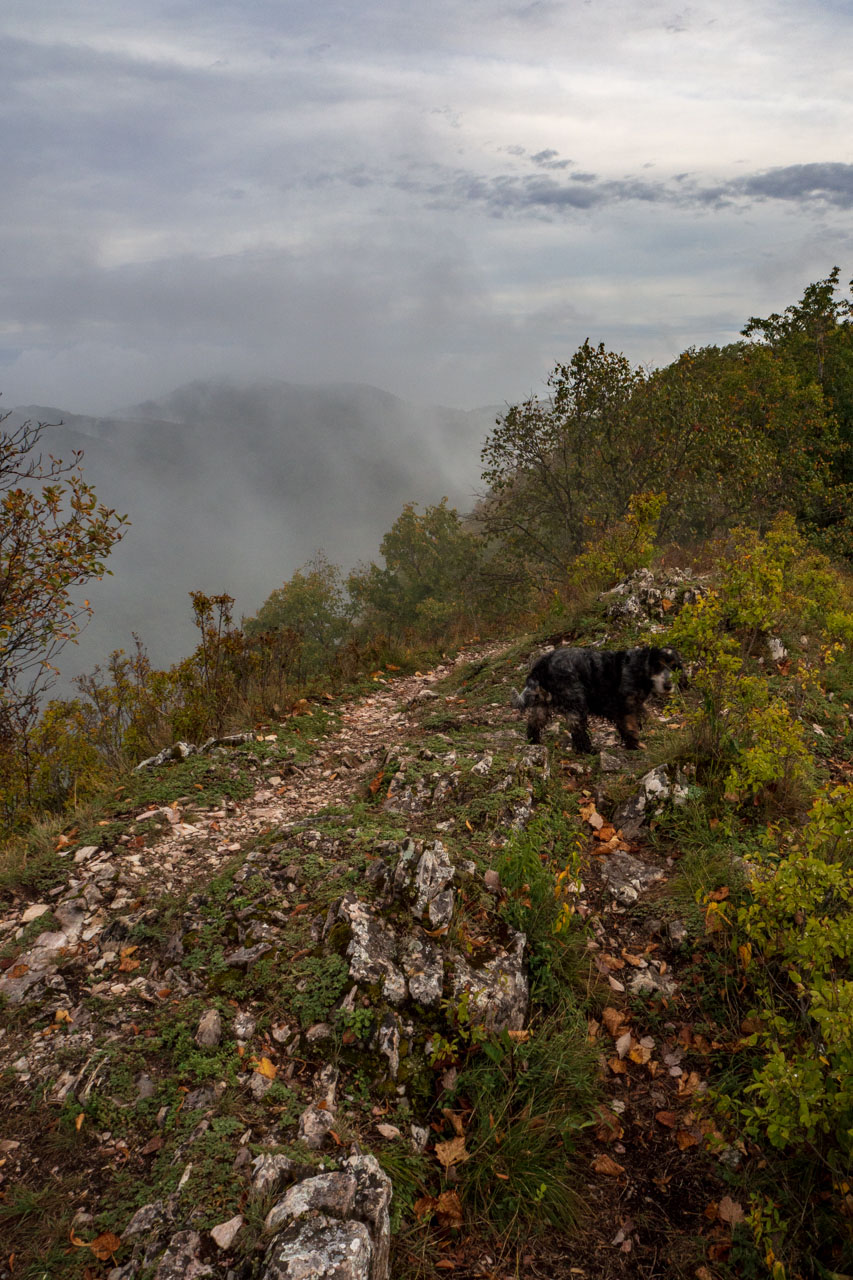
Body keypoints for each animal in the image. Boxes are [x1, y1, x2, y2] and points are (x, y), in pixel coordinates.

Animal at [507, 640, 681, 747]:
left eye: (674, 667)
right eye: (658, 666)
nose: (668, 685)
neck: (638, 668)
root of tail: (542, 664)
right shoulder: (624, 707)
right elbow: (630, 727)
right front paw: (636, 745)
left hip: (542, 704)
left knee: (533, 724)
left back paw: (534, 743)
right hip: (576, 701)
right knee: (578, 730)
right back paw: (589, 750)